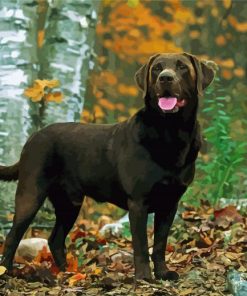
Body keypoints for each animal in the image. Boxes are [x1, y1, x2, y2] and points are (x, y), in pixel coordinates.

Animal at [0, 52, 213, 280]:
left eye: (182, 67)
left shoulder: (170, 203)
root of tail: (32, 137)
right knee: (13, 235)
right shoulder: (138, 202)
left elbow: (159, 244)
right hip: (31, 193)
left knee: (55, 239)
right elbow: (141, 245)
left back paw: (68, 272)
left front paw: (163, 272)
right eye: (157, 68)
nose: (165, 77)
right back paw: (7, 271)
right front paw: (144, 276)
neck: (171, 133)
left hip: (70, 203)